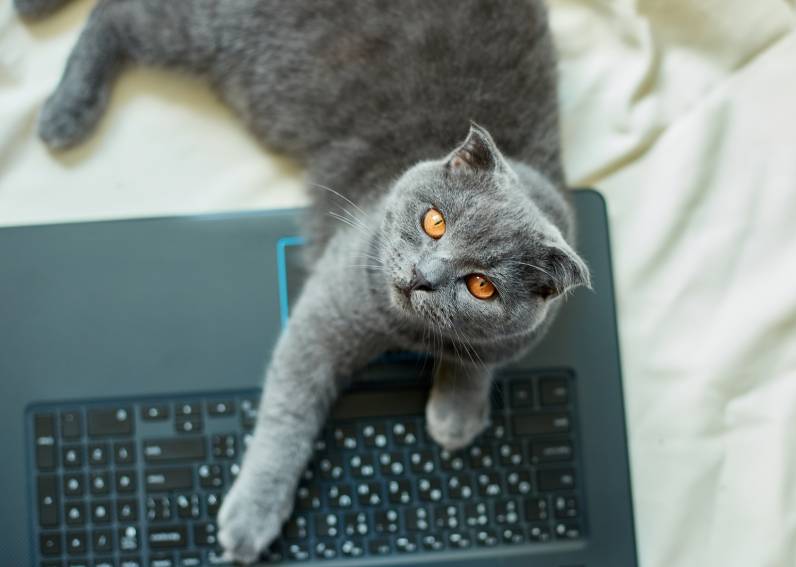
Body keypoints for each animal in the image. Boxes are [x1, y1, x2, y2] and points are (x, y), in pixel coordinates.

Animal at [17, 0, 592, 560]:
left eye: (481, 286)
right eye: (435, 221)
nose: (421, 278)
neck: (410, 332)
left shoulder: (520, 332)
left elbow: (484, 355)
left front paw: (456, 413)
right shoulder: (326, 312)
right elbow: (288, 412)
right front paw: (252, 516)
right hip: (208, 25)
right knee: (114, 15)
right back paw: (63, 110)